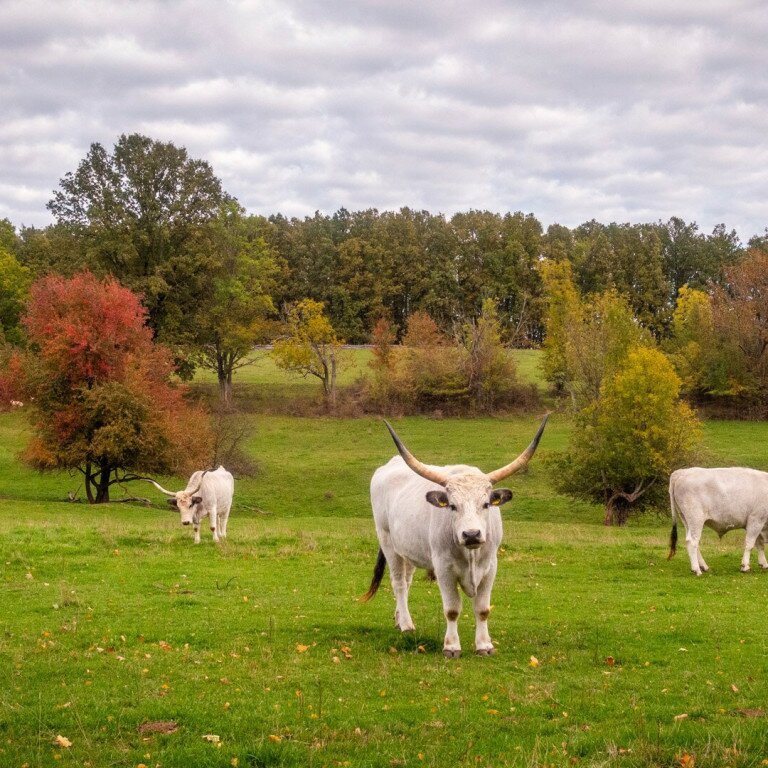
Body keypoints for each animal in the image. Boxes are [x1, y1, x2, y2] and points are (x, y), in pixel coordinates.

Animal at [364, 416, 548, 656]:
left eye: (486, 504)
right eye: (452, 506)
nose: (471, 534)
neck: (470, 554)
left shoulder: (491, 566)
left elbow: (483, 609)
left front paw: (484, 645)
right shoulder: (443, 568)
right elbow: (452, 609)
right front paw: (451, 646)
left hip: (408, 549)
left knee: (407, 580)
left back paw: (399, 619)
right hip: (387, 542)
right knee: (399, 583)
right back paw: (406, 624)